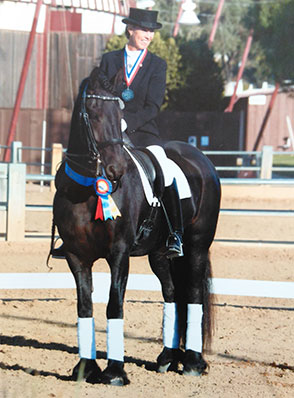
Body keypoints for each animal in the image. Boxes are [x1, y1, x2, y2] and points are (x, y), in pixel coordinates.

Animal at [50, 67, 220, 386]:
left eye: (120, 113)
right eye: (92, 112)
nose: (116, 170)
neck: (87, 189)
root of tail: (202, 160)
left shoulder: (119, 253)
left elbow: (114, 303)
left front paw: (115, 372)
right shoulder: (76, 256)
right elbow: (84, 306)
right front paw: (85, 369)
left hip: (197, 246)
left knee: (192, 293)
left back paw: (192, 362)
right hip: (160, 254)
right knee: (171, 293)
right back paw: (168, 358)